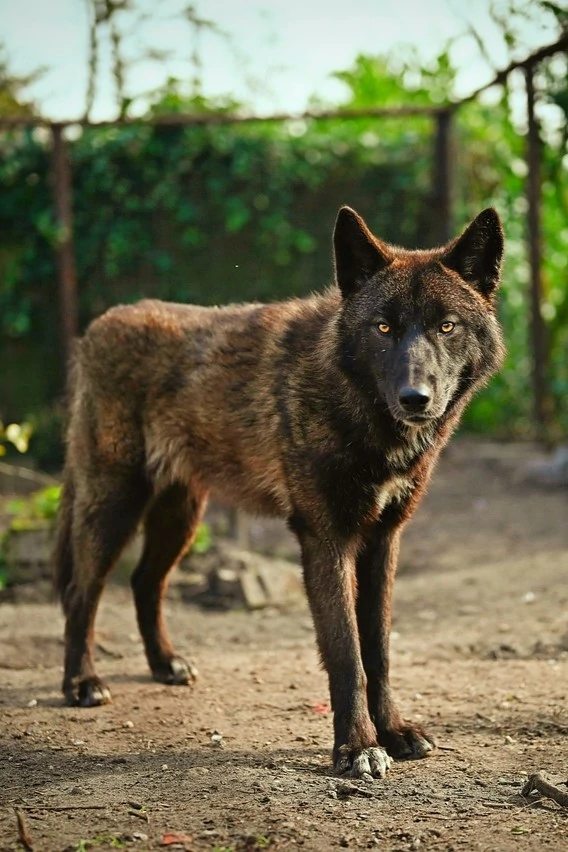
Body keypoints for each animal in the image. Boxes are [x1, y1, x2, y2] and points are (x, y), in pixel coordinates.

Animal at [54, 205, 504, 778]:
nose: (415, 398)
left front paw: (394, 732)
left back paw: (164, 664)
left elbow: (378, 650)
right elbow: (347, 654)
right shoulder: (325, 539)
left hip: (180, 518)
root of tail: (95, 328)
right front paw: (357, 748)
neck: (358, 407)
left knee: (143, 582)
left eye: (446, 326)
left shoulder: (383, 540)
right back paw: (81, 683)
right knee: (81, 592)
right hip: (115, 507)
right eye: (383, 327)